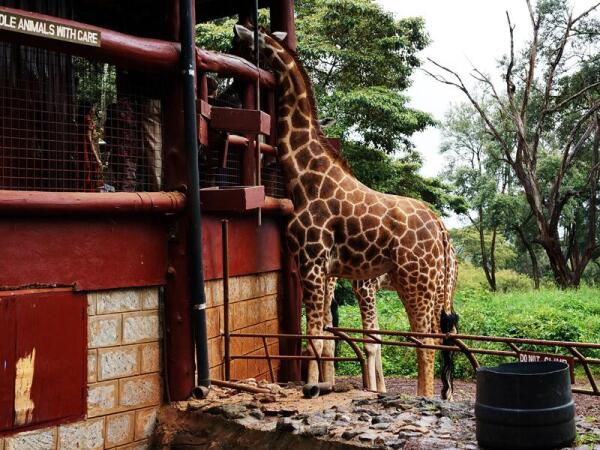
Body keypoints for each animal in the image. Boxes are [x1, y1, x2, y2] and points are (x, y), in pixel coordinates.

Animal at [234, 24, 460, 398]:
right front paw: (325, 384)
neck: (305, 179)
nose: (234, 35)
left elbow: (316, 334)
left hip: (418, 280)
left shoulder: (312, 261)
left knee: (427, 341)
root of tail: (442, 229)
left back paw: (425, 398)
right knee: (436, 338)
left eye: (249, 40)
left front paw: (312, 387)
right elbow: (327, 336)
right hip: (422, 284)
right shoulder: (325, 269)